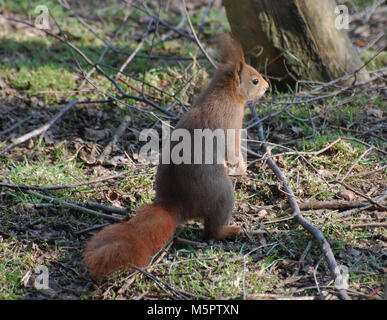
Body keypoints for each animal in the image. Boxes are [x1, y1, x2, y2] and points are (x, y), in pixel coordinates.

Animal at [83, 35, 268, 278]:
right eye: (254, 80)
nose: (267, 86)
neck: (224, 93)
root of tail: (176, 204)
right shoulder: (231, 125)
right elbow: (233, 152)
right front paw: (243, 168)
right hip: (222, 195)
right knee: (210, 231)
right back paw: (229, 230)